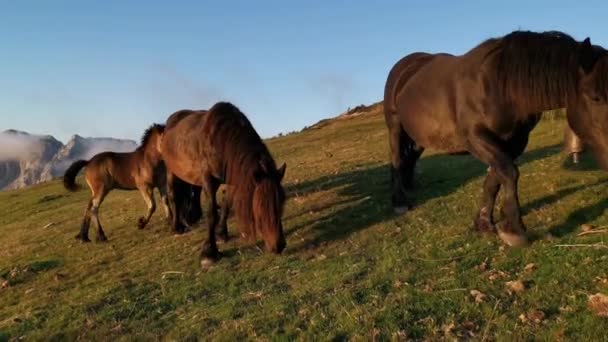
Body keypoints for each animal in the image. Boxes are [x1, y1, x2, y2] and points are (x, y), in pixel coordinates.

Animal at [159, 103, 288, 266]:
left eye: (282, 202)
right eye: (260, 206)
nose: (279, 246)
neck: (220, 140)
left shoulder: (233, 179)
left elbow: (226, 205)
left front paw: (221, 233)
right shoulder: (208, 180)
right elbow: (212, 213)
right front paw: (209, 252)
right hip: (171, 171)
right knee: (174, 196)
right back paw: (177, 226)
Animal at [384, 30, 608, 246]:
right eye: (595, 97)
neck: (498, 87)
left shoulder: (515, 142)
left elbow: (495, 179)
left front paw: (484, 223)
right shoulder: (475, 138)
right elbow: (509, 172)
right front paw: (514, 230)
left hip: (419, 138)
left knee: (410, 158)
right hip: (395, 127)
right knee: (397, 160)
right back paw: (399, 202)